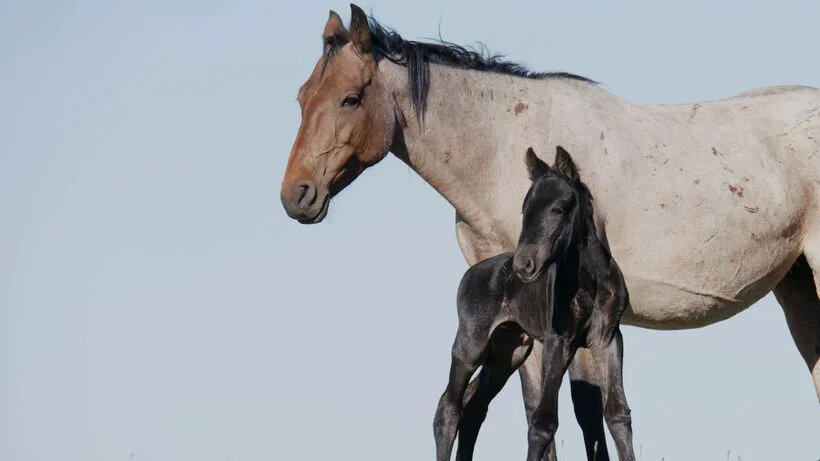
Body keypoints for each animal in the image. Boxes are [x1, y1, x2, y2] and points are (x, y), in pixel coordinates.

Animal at [434, 147, 634, 461]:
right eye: (524, 210)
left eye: (557, 209)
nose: (523, 265)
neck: (589, 280)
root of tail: (471, 273)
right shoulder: (557, 339)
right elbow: (543, 421)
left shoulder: (608, 337)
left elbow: (617, 413)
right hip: (472, 344)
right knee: (448, 407)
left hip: (508, 352)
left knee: (473, 408)